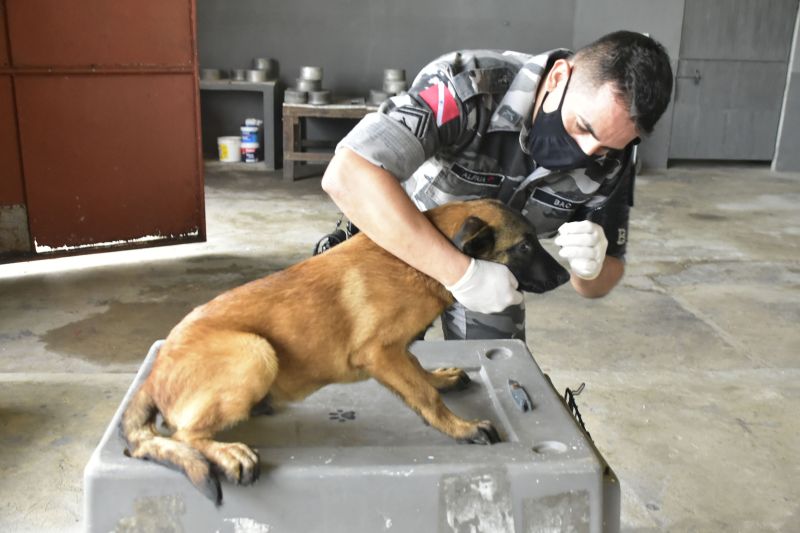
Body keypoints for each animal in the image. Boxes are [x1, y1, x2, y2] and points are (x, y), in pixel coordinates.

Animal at [119, 198, 568, 502]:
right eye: (525, 246)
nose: (567, 277)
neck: (420, 260)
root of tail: (154, 375)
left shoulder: (398, 350)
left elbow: (419, 369)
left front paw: (441, 377)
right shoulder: (380, 353)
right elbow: (424, 397)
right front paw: (460, 426)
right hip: (255, 351)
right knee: (184, 432)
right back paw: (229, 453)